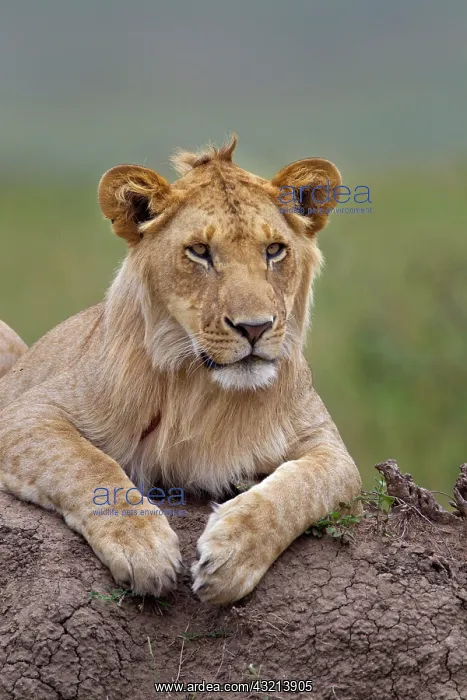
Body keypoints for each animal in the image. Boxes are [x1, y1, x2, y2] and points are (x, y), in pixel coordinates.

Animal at [0, 136, 361, 604]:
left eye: (274, 250)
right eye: (200, 252)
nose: (255, 327)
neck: (203, 390)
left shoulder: (331, 450)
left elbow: (299, 488)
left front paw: (232, 553)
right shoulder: (27, 415)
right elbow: (87, 464)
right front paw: (142, 546)